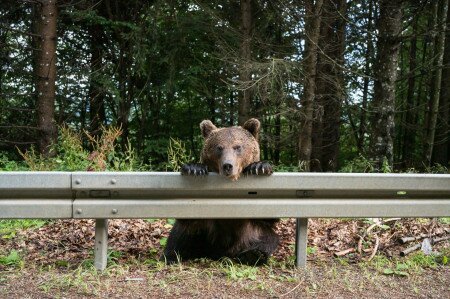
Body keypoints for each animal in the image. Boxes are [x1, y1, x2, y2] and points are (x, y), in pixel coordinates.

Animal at [162, 118, 278, 266]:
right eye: (219, 147)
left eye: (237, 146)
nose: (227, 166)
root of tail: (221, 254)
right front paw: (194, 168)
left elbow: (268, 216)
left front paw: (259, 166)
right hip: (204, 235)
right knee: (181, 234)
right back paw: (171, 256)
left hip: (250, 234)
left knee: (266, 239)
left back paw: (252, 255)